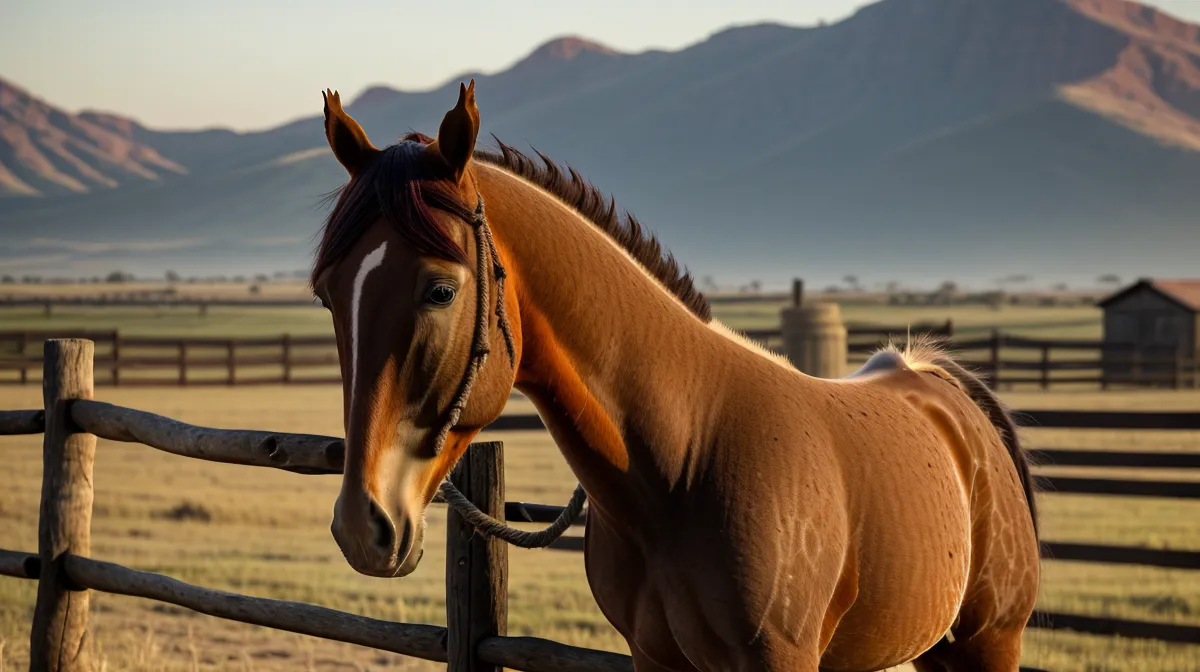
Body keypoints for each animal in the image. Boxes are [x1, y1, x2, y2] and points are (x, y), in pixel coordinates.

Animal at [309, 81, 1040, 671]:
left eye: (440, 290)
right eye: (326, 295)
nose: (362, 526)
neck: (686, 457)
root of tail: (939, 388)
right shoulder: (655, 657)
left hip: (988, 644)